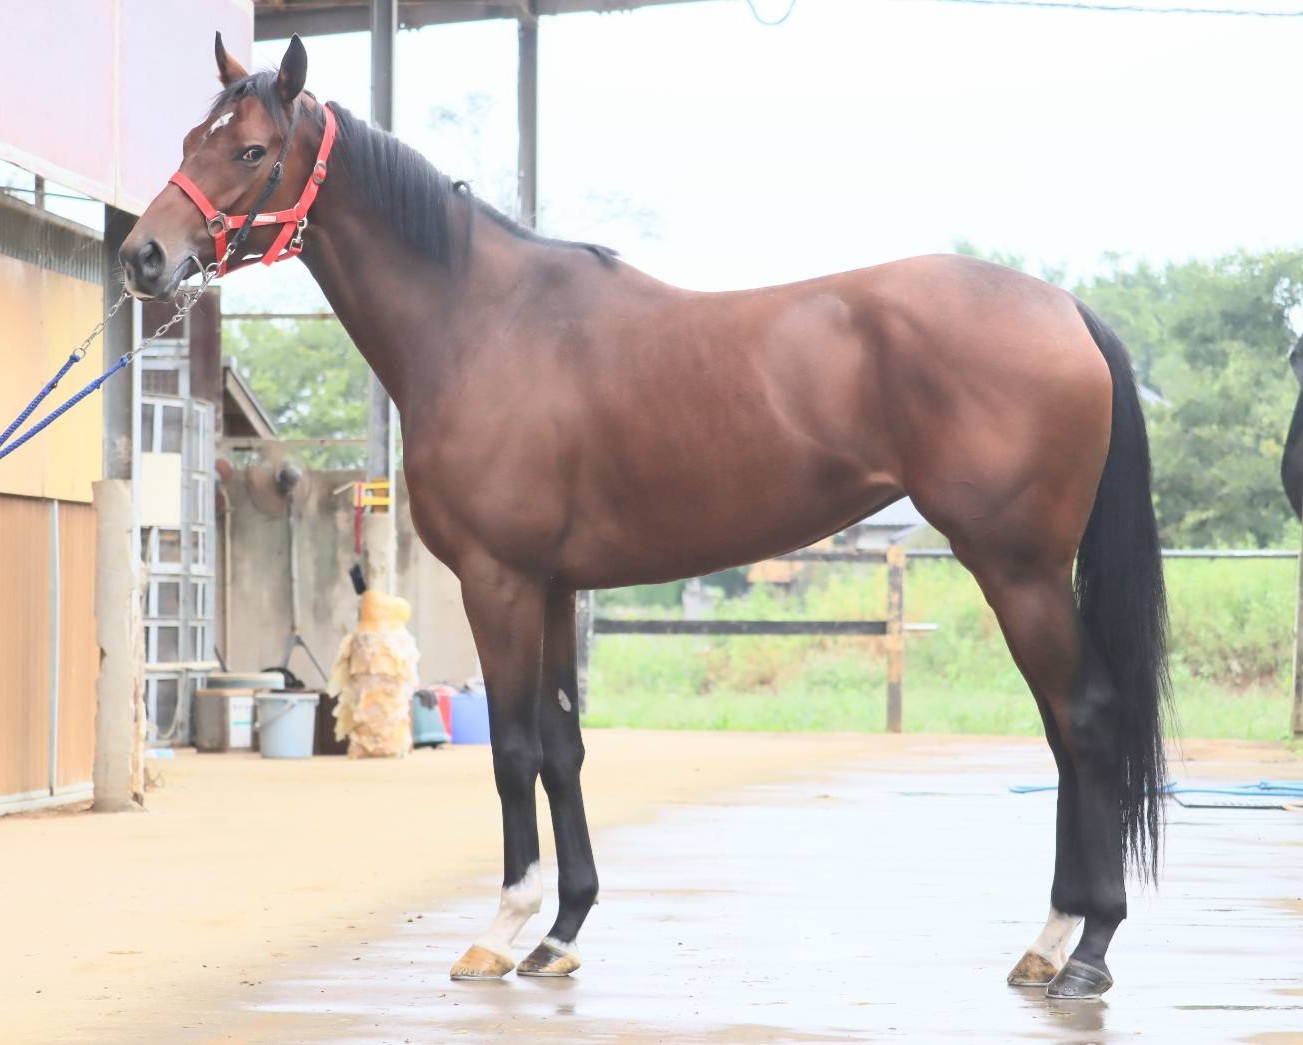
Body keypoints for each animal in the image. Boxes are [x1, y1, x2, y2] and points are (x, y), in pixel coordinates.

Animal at [119, 33, 1169, 1001]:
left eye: (251, 149)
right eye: (191, 137)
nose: (143, 255)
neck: (480, 320)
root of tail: (1066, 309)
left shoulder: (499, 583)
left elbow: (513, 752)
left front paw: (498, 932)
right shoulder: (553, 587)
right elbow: (564, 747)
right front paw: (559, 931)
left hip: (1017, 568)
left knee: (1084, 719)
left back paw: (1082, 947)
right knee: (1063, 730)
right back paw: (1049, 946)